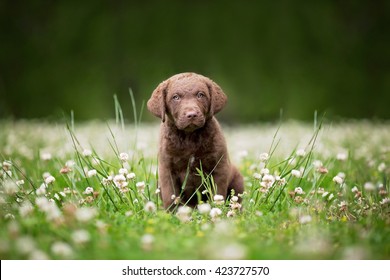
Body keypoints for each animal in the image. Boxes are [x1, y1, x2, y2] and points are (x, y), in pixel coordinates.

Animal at [147, 72, 244, 210]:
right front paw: (171, 213)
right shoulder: (166, 168)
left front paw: (217, 210)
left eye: (200, 95)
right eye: (175, 97)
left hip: (238, 180)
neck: (189, 137)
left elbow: (218, 193)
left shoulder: (219, 167)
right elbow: (170, 196)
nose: (192, 114)